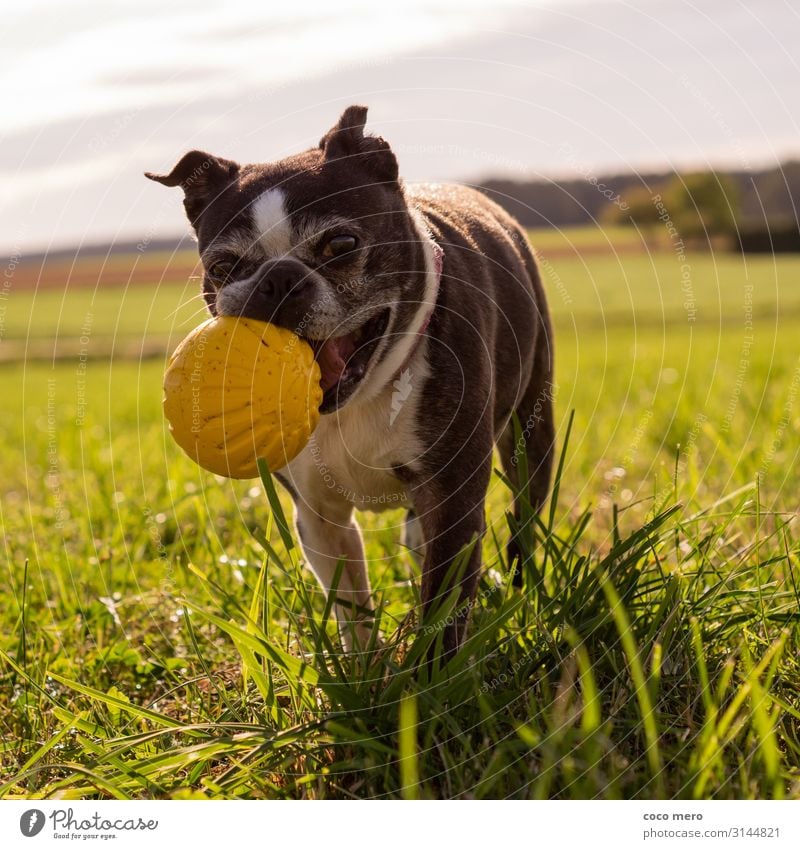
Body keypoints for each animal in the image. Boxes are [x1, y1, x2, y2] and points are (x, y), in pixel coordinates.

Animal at [147, 106, 552, 660]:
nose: (278, 279)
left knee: (525, 510)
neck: (359, 398)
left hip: (532, 428)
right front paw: (365, 668)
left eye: (341, 245)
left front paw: (430, 678)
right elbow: (351, 605)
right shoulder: (319, 516)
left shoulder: (452, 499)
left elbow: (443, 605)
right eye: (223, 266)